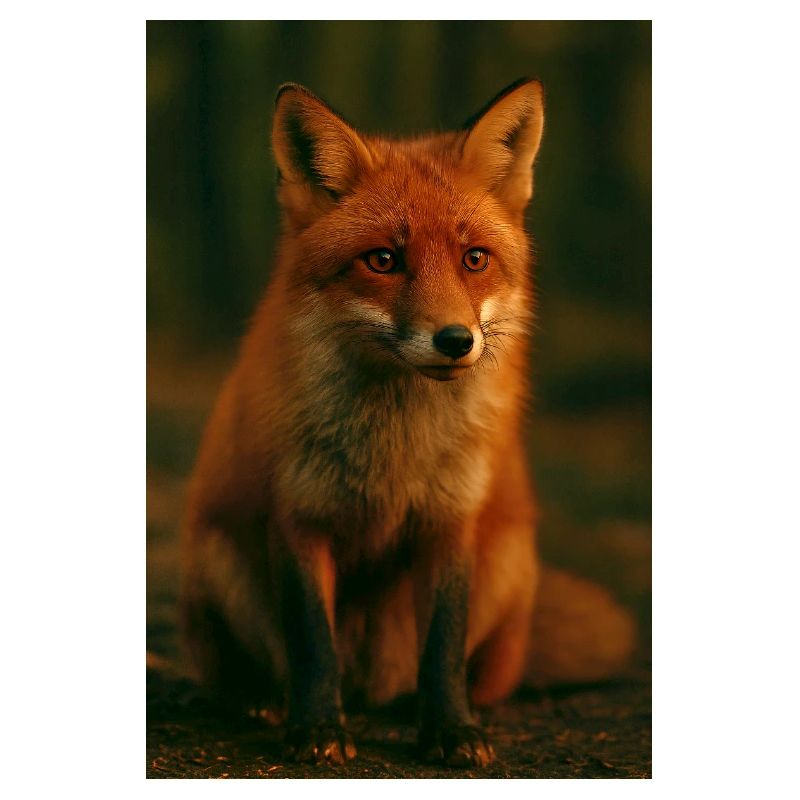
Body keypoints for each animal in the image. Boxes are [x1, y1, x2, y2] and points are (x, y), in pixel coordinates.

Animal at [180, 78, 635, 768]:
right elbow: (311, 641)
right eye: (383, 260)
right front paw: (317, 728)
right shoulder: (299, 516)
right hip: (216, 554)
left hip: (509, 561)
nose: (456, 340)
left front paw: (451, 730)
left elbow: (443, 645)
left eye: (474, 258)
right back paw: (260, 700)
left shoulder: (451, 519)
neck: (396, 448)